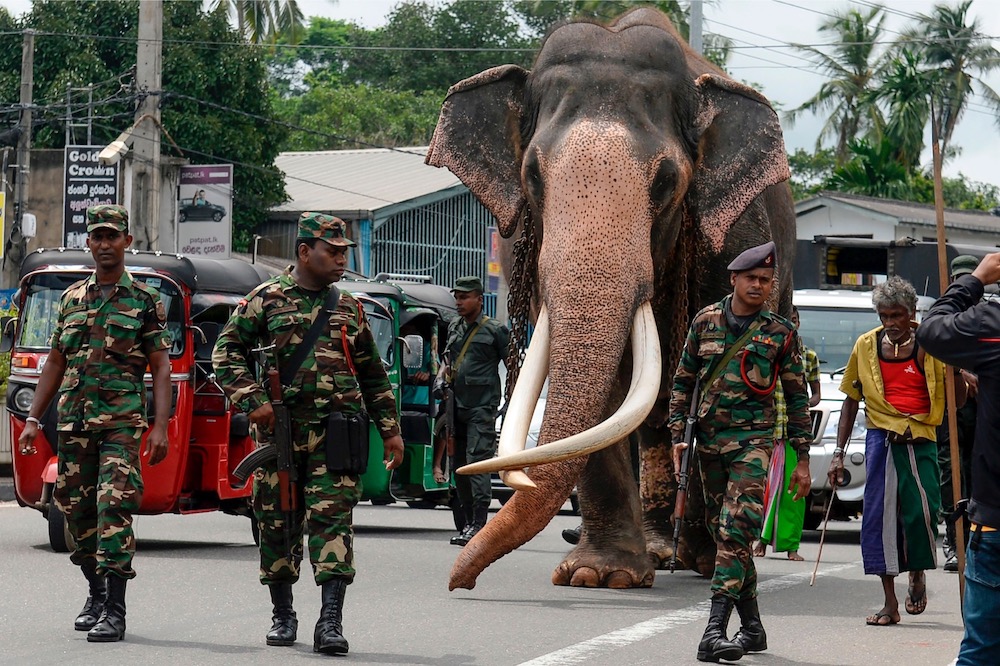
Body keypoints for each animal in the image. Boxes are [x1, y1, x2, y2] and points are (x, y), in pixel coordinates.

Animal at [425, 7, 796, 590]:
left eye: (667, 180)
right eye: (532, 175)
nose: (460, 581)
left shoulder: (730, 244)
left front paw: (677, 563)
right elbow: (613, 396)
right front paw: (599, 576)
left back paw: (695, 557)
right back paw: (661, 553)